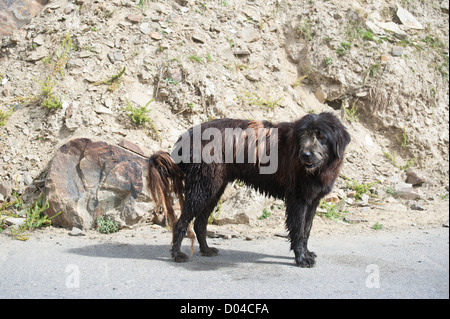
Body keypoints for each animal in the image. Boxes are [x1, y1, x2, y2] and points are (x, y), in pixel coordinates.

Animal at [149, 112, 350, 268]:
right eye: (303, 136)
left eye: (321, 136)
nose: (305, 155)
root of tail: (187, 135)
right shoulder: (297, 200)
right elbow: (299, 232)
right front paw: (301, 258)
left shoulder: (312, 200)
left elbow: (306, 230)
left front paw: (307, 253)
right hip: (203, 189)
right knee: (181, 223)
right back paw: (177, 254)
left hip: (213, 188)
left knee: (200, 222)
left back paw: (206, 250)